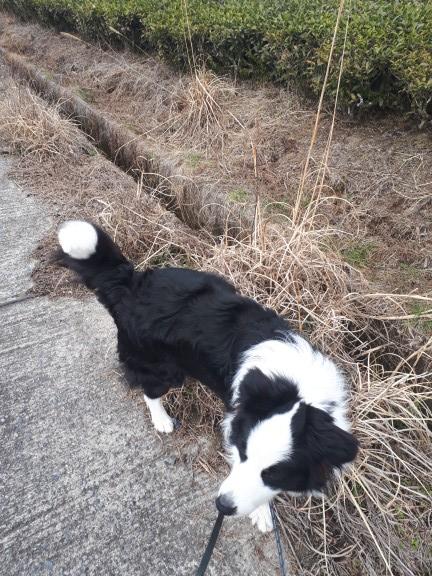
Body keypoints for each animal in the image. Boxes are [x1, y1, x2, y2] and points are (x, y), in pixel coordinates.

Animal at [57, 220, 358, 532]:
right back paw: (162, 420)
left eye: (273, 474)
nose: (222, 506)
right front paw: (263, 513)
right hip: (161, 368)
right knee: (149, 389)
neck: (297, 388)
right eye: (243, 454)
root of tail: (132, 283)